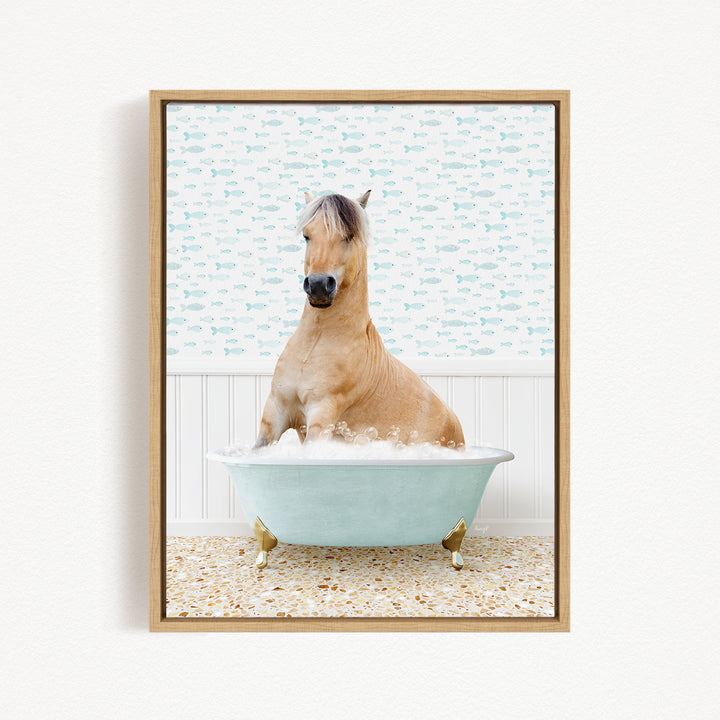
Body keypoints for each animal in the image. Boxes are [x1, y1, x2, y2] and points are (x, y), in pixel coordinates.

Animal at [255, 190, 465, 448]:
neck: (314, 345)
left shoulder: (321, 416)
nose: (318, 286)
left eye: (348, 236)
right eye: (306, 236)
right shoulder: (275, 412)